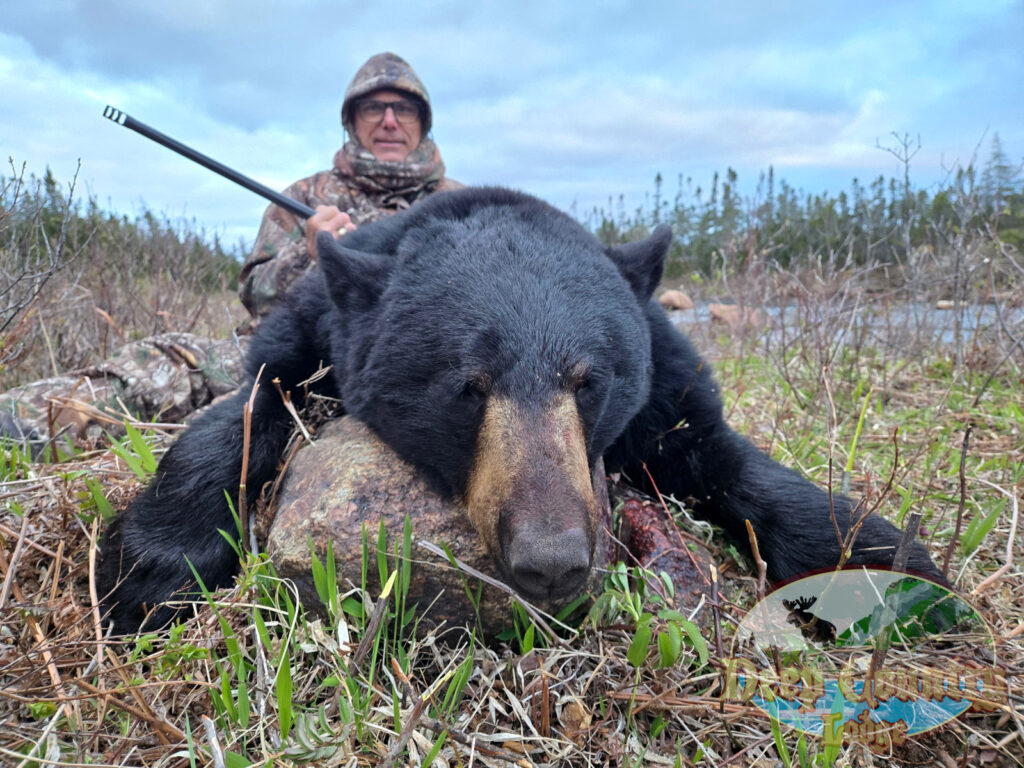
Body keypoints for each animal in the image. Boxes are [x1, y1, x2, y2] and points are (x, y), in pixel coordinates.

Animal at [96, 187, 943, 632]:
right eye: (467, 386)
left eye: (588, 380)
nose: (552, 560)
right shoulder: (310, 329)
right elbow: (247, 405)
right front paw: (153, 567)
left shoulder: (663, 373)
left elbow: (715, 448)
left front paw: (876, 559)